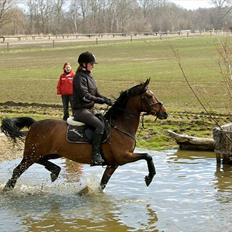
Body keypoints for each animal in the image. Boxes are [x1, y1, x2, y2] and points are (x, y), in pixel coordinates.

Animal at [0, 79, 168, 191]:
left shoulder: (113, 164)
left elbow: (103, 183)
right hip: (32, 154)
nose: (164, 113)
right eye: (149, 96)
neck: (120, 126)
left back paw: (55, 171)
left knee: (41, 161)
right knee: (17, 171)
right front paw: (149, 177)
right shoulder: (124, 156)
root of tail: (35, 124)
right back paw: (8, 189)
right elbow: (148, 156)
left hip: (49, 153)